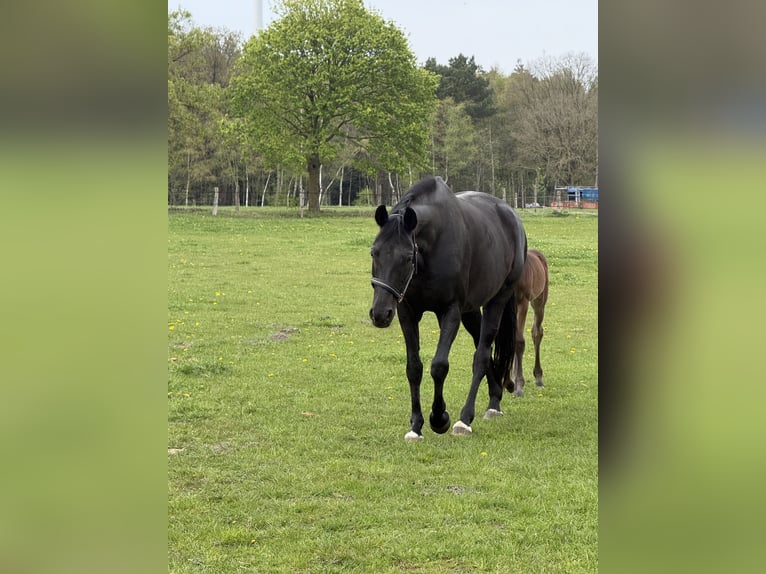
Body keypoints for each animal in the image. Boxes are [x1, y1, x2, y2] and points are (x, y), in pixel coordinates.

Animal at [369, 177, 527, 441]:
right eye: (374, 252)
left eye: (407, 257)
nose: (380, 314)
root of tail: (512, 216)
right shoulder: (407, 312)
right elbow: (414, 368)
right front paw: (416, 425)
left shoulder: (450, 311)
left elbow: (439, 366)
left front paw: (439, 418)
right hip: (471, 311)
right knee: (481, 348)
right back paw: (494, 399)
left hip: (497, 299)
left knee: (481, 354)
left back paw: (465, 419)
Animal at [503, 249, 549, 397]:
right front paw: (507, 382)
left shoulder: (522, 302)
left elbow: (519, 342)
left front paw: (518, 386)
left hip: (539, 301)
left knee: (537, 332)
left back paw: (538, 377)